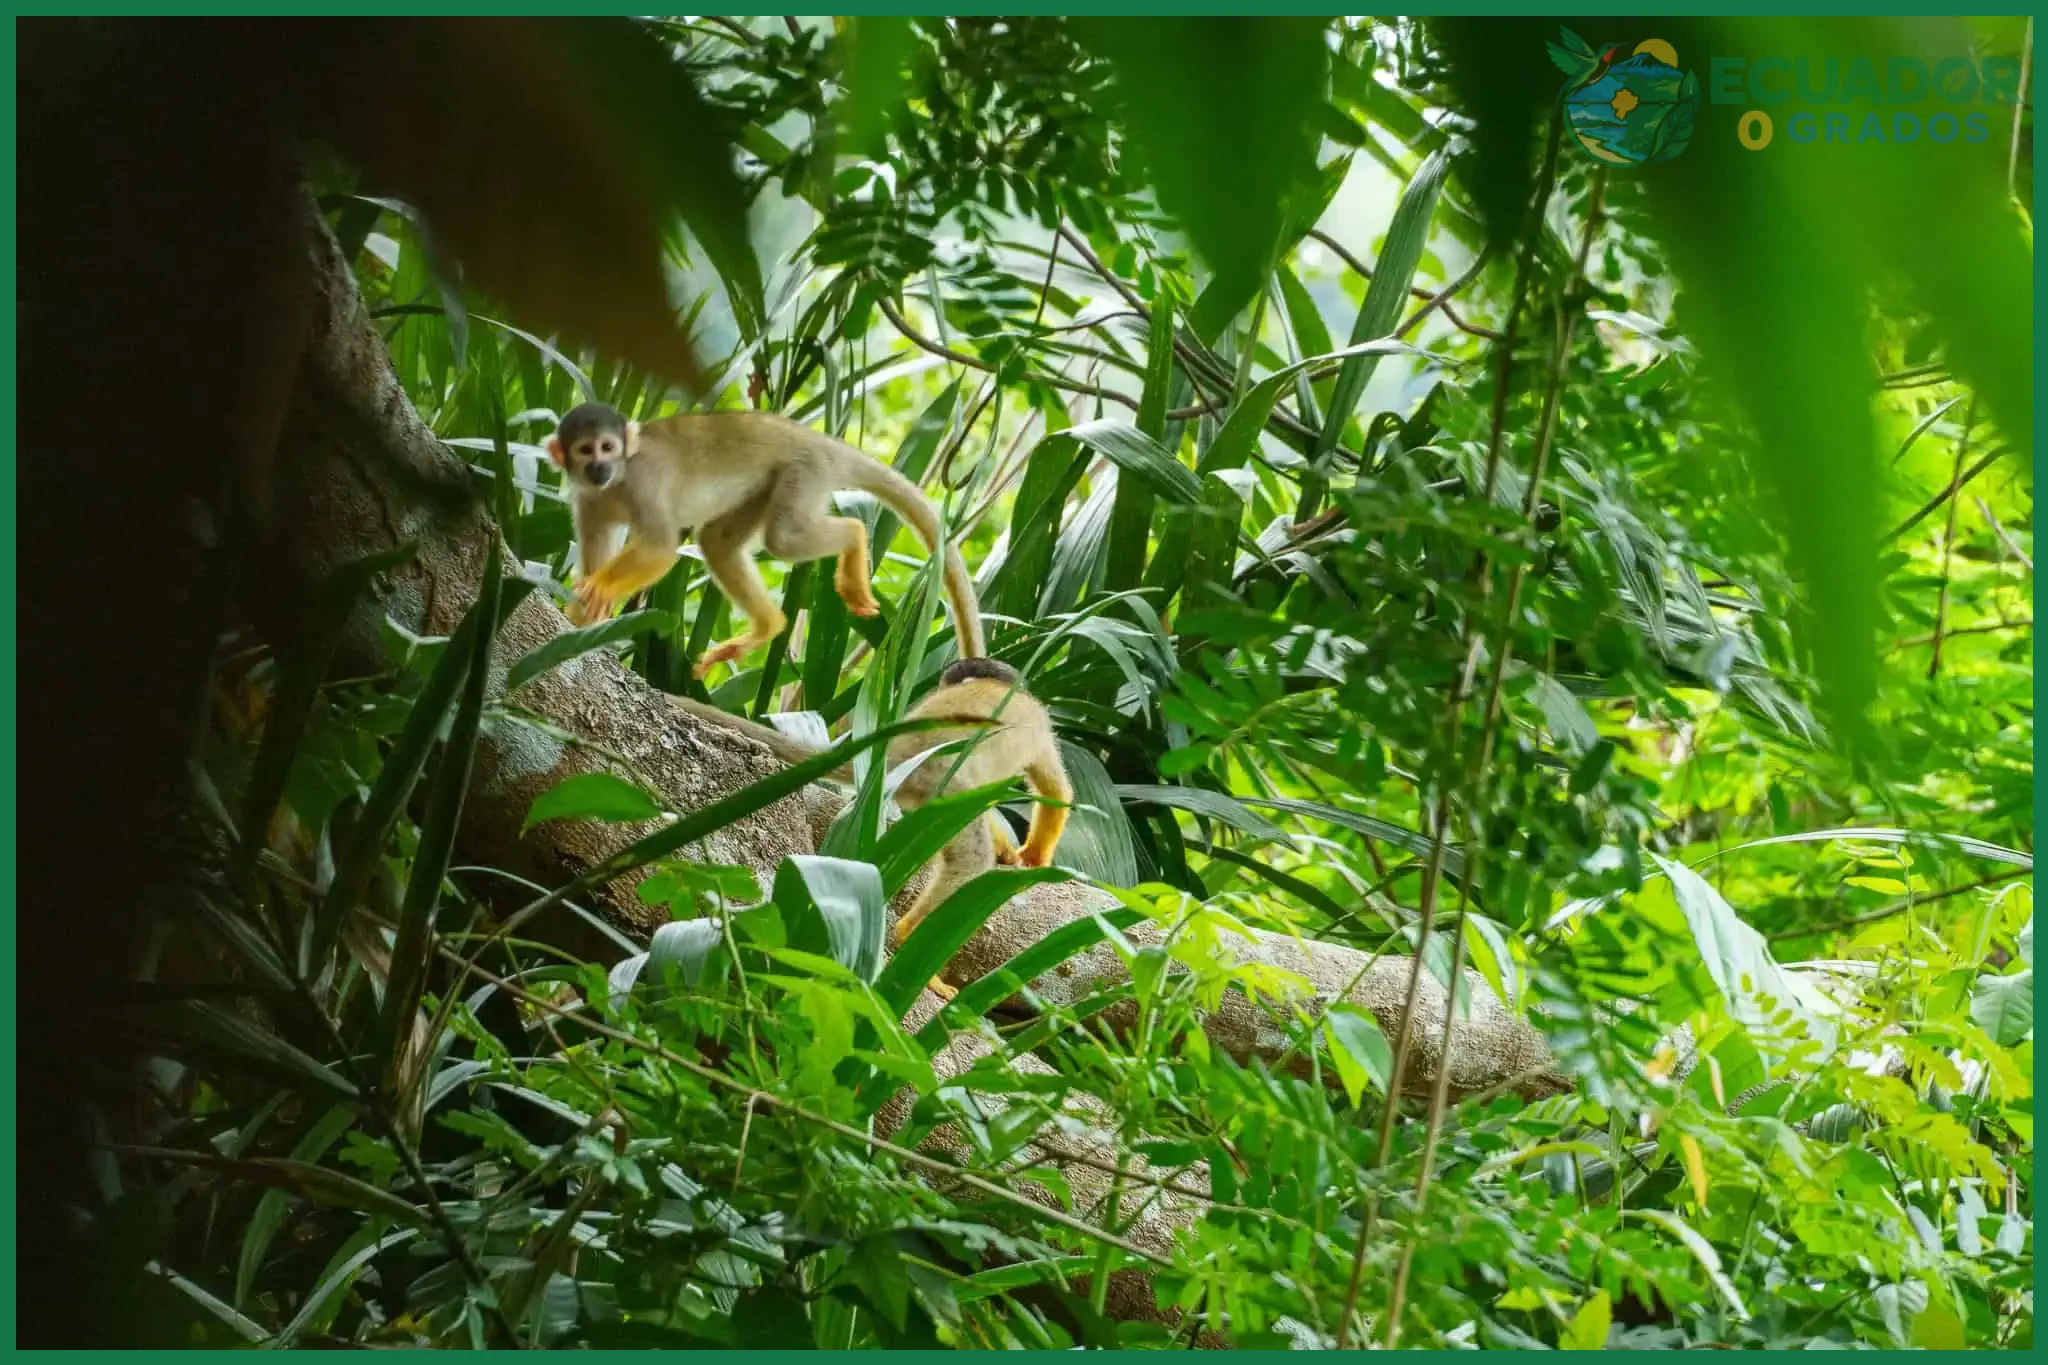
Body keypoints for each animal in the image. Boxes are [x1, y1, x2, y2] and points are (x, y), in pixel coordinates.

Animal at [546, 403, 987, 677]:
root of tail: (822, 441)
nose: (599, 466)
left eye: (608, 447)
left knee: (784, 539)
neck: (617, 482)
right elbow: (597, 544)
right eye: (585, 450)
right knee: (719, 541)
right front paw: (582, 616)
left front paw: (601, 588)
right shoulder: (586, 499)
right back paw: (768, 626)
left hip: (805, 472)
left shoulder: (644, 483)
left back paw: (854, 537)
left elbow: (659, 545)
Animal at [670, 657, 1071, 1000]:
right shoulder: (1040, 729)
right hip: (945, 778)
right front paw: (1035, 857)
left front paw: (1013, 851)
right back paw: (912, 936)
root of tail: (903, 749)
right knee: (971, 859)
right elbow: (1055, 790)